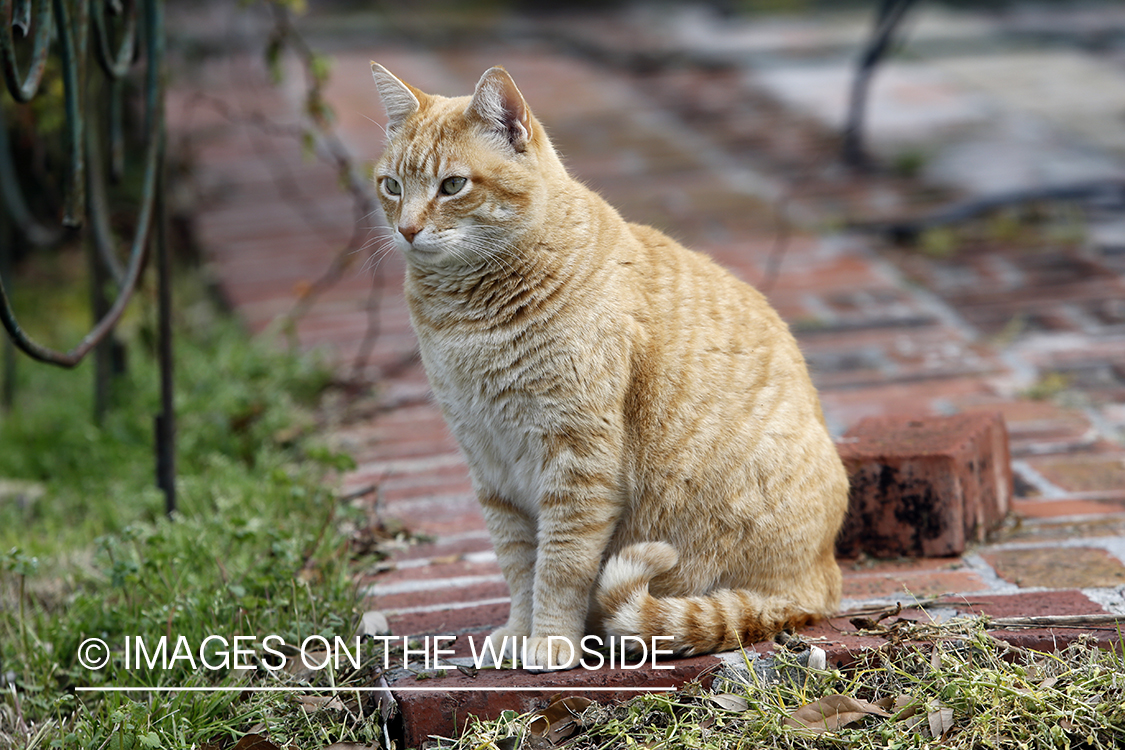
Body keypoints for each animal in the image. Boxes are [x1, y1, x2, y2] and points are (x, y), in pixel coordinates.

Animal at [373, 64, 846, 670]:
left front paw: (551, 639)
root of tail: (823, 582)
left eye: (453, 186)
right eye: (392, 186)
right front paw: (517, 632)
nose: (407, 229)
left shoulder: (577, 457)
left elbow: (560, 564)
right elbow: (517, 563)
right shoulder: (489, 460)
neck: (468, 319)